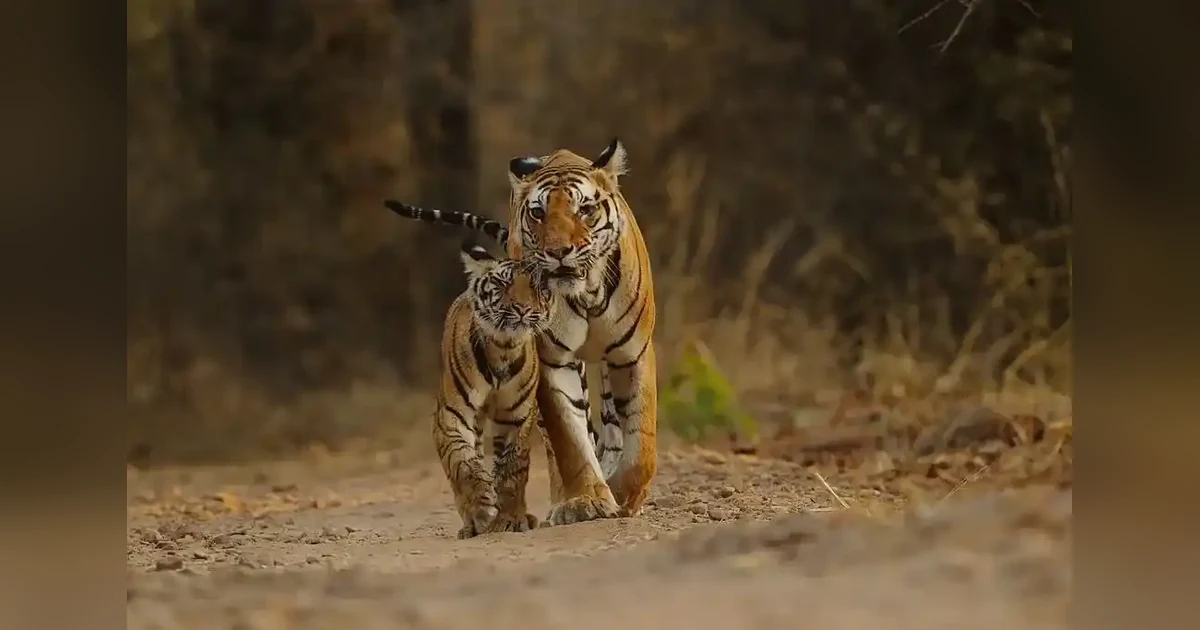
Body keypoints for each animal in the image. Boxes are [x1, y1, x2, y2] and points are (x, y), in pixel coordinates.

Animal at [429, 238, 557, 538]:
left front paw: (510, 519)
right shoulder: (451, 415)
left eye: (537, 287)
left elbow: (512, 470)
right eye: (503, 283)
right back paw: (472, 524)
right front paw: (483, 506)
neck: (503, 349)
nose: (522, 309)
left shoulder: (516, 417)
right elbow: (463, 464)